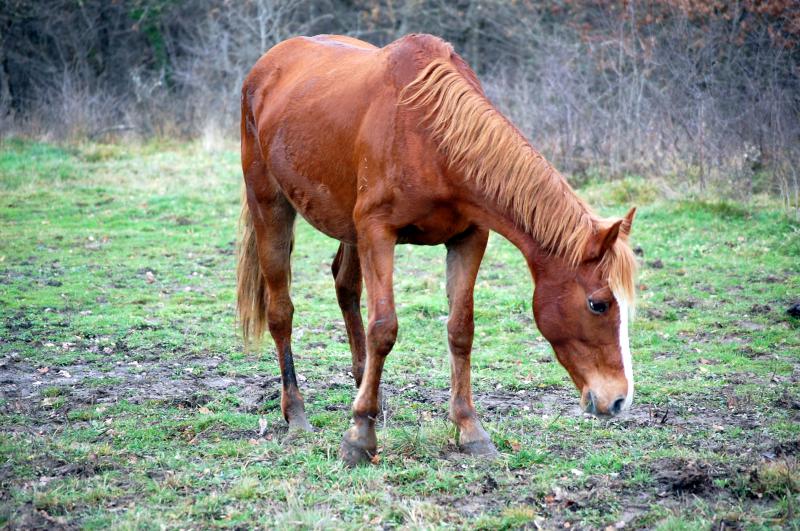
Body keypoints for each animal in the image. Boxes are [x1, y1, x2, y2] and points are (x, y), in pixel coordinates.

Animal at [236, 33, 636, 466]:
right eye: (598, 304)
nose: (619, 400)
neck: (430, 134)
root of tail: (267, 64)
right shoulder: (378, 233)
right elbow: (384, 328)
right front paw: (360, 437)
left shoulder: (469, 237)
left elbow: (461, 330)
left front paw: (470, 430)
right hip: (270, 206)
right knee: (281, 312)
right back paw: (296, 414)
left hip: (347, 227)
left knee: (345, 288)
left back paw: (368, 393)